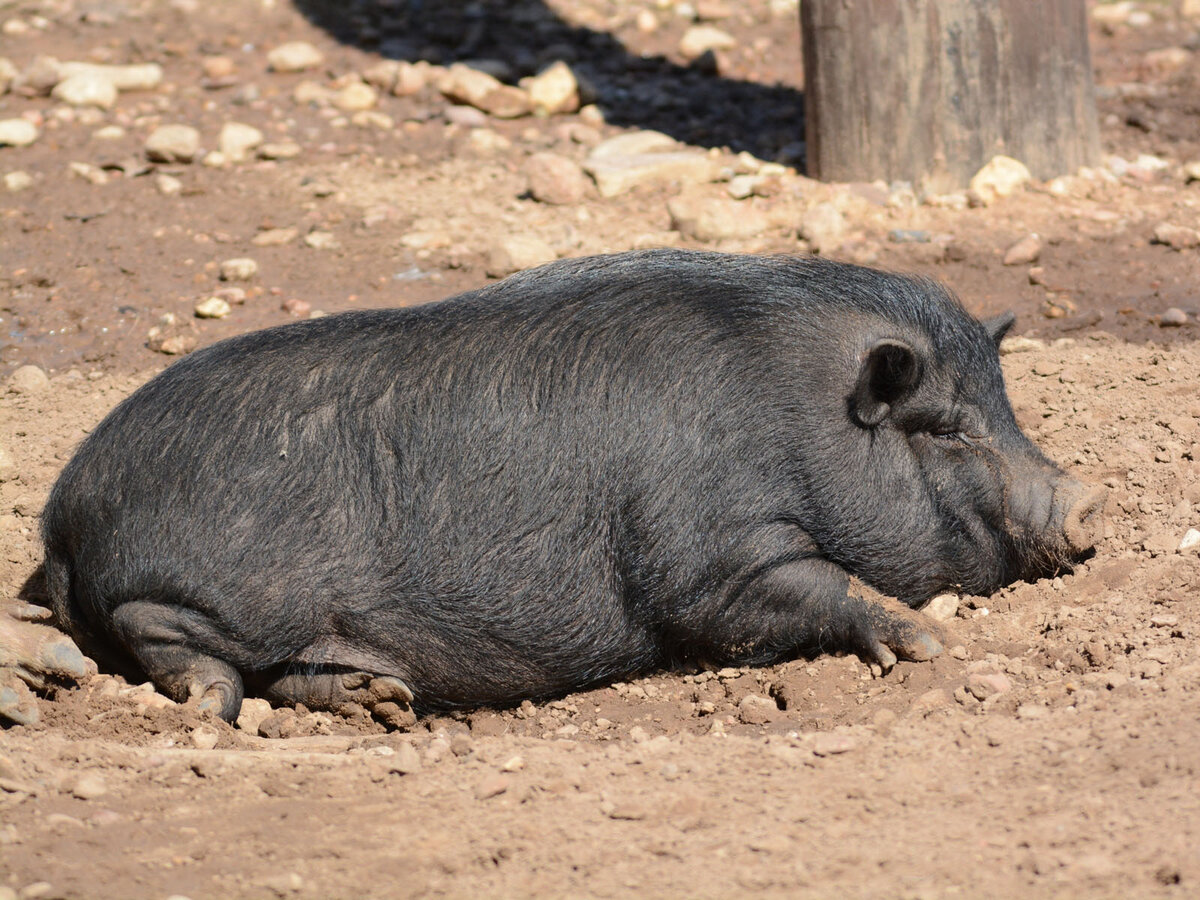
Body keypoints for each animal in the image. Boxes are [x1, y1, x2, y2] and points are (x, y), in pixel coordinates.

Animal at [39, 248, 1104, 724]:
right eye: (949, 427)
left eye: (1006, 407)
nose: (1089, 504)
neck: (801, 418)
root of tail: (61, 514)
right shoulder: (709, 551)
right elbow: (793, 589)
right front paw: (923, 642)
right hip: (203, 590)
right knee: (169, 637)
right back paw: (211, 705)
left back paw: (385, 699)